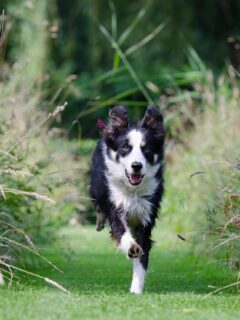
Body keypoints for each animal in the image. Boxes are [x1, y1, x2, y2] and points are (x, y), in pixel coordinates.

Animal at [90, 105, 165, 296]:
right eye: (125, 147)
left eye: (146, 149)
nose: (136, 166)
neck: (133, 191)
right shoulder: (116, 204)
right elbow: (121, 230)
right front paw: (131, 247)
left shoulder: (147, 213)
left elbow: (142, 255)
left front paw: (136, 287)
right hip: (96, 187)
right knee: (99, 205)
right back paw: (100, 221)